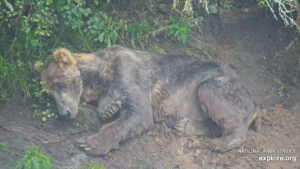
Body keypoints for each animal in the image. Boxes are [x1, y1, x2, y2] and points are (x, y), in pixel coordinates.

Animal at [34, 45, 260, 156]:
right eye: (49, 94)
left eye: (59, 84)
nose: (64, 113)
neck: (100, 76)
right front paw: (109, 108)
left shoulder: (129, 72)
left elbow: (138, 114)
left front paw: (91, 143)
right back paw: (185, 126)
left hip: (219, 85)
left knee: (215, 99)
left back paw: (222, 143)